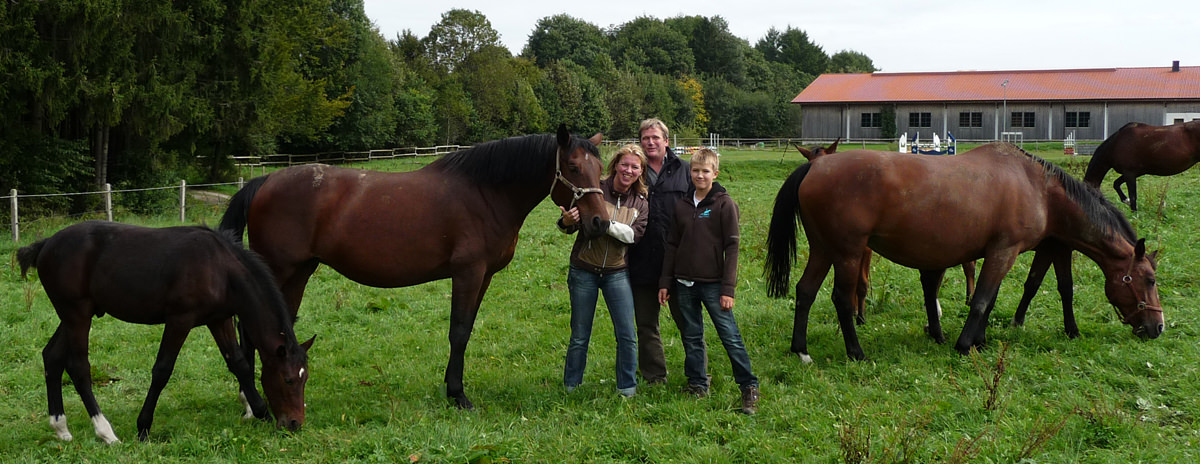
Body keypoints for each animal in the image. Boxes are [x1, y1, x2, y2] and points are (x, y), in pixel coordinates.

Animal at [17, 223, 314, 446]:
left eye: (305, 378)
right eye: (288, 379)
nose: (295, 423)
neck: (219, 267)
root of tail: (46, 245)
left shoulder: (219, 320)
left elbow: (239, 364)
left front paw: (261, 412)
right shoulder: (179, 320)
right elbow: (162, 370)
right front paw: (143, 427)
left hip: (73, 316)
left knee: (52, 357)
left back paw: (61, 428)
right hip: (76, 315)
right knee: (79, 368)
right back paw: (106, 432)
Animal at [763, 143, 1166, 362]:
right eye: (1148, 279)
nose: (1158, 327)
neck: (1039, 188)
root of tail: (816, 166)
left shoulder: (1028, 250)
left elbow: (1003, 295)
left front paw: (981, 340)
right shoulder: (1003, 251)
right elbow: (983, 299)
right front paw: (965, 343)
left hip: (823, 250)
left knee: (805, 292)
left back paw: (801, 350)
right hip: (847, 253)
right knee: (841, 300)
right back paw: (856, 352)